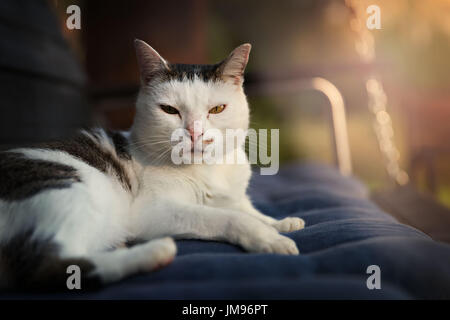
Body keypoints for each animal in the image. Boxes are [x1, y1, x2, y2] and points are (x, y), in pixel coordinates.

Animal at [0, 39, 306, 290]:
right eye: (169, 110)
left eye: (217, 109)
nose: (194, 132)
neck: (207, 170)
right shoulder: (153, 211)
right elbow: (229, 218)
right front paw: (269, 238)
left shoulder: (233, 197)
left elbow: (250, 211)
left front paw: (281, 223)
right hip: (71, 192)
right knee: (52, 267)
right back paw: (154, 252)